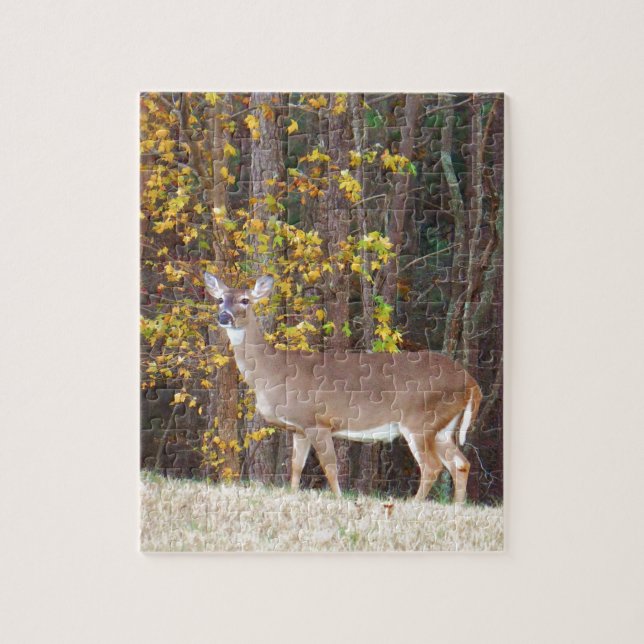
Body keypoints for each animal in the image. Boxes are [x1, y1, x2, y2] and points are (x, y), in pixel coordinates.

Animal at [204, 273, 482, 503]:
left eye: (245, 300)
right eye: (219, 299)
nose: (224, 317)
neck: (273, 371)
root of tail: (472, 383)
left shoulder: (318, 421)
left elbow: (330, 466)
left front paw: (338, 499)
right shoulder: (299, 427)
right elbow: (296, 467)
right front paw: (293, 495)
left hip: (420, 419)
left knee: (432, 466)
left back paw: (415, 504)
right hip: (442, 426)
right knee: (460, 463)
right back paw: (457, 506)